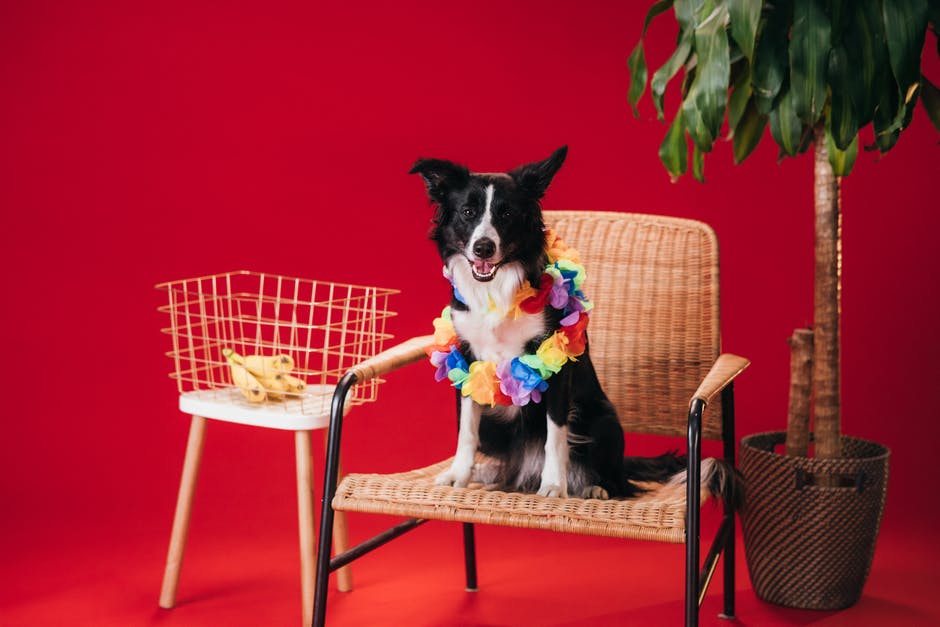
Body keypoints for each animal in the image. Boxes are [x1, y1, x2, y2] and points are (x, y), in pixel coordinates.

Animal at [412, 145, 736, 502]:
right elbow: (466, 432)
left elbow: (556, 436)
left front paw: (554, 484)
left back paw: (594, 486)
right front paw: (459, 474)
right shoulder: (469, 361)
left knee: (614, 479)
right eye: (468, 212)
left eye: (506, 214)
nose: (484, 247)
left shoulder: (556, 365)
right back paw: (491, 472)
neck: (496, 289)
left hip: (603, 420)